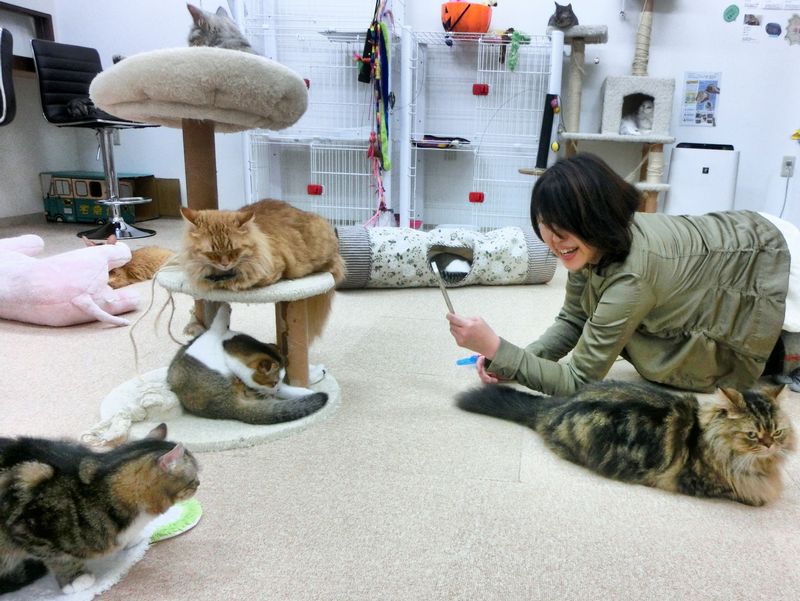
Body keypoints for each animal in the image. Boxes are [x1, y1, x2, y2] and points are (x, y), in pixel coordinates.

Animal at [167, 303, 328, 424]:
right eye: (273, 382)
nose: (275, 389)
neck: (227, 343)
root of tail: (228, 407)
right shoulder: (212, 334)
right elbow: (218, 322)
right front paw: (225, 306)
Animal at [456, 381, 795, 506]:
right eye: (752, 435)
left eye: (777, 432)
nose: (770, 445)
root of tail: (555, 406)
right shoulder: (708, 483)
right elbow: (753, 493)